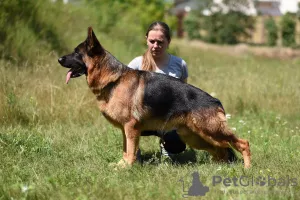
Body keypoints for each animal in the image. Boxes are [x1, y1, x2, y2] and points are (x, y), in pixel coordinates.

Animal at [58, 26, 251, 167]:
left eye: (76, 53)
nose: (59, 59)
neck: (114, 79)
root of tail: (215, 101)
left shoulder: (130, 128)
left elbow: (130, 151)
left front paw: (127, 168)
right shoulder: (125, 130)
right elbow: (126, 150)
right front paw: (122, 165)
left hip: (211, 131)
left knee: (242, 143)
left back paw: (246, 168)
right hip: (196, 136)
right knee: (221, 150)